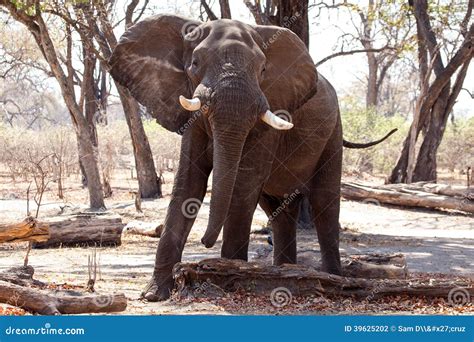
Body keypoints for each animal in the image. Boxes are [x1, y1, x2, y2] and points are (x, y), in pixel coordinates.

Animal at [109, 14, 394, 300]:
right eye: (195, 63)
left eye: (263, 70)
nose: (205, 242)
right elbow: (188, 182)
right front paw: (154, 294)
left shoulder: (273, 109)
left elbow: (244, 183)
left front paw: (225, 276)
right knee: (280, 211)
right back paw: (286, 273)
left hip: (333, 133)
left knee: (324, 204)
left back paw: (333, 279)